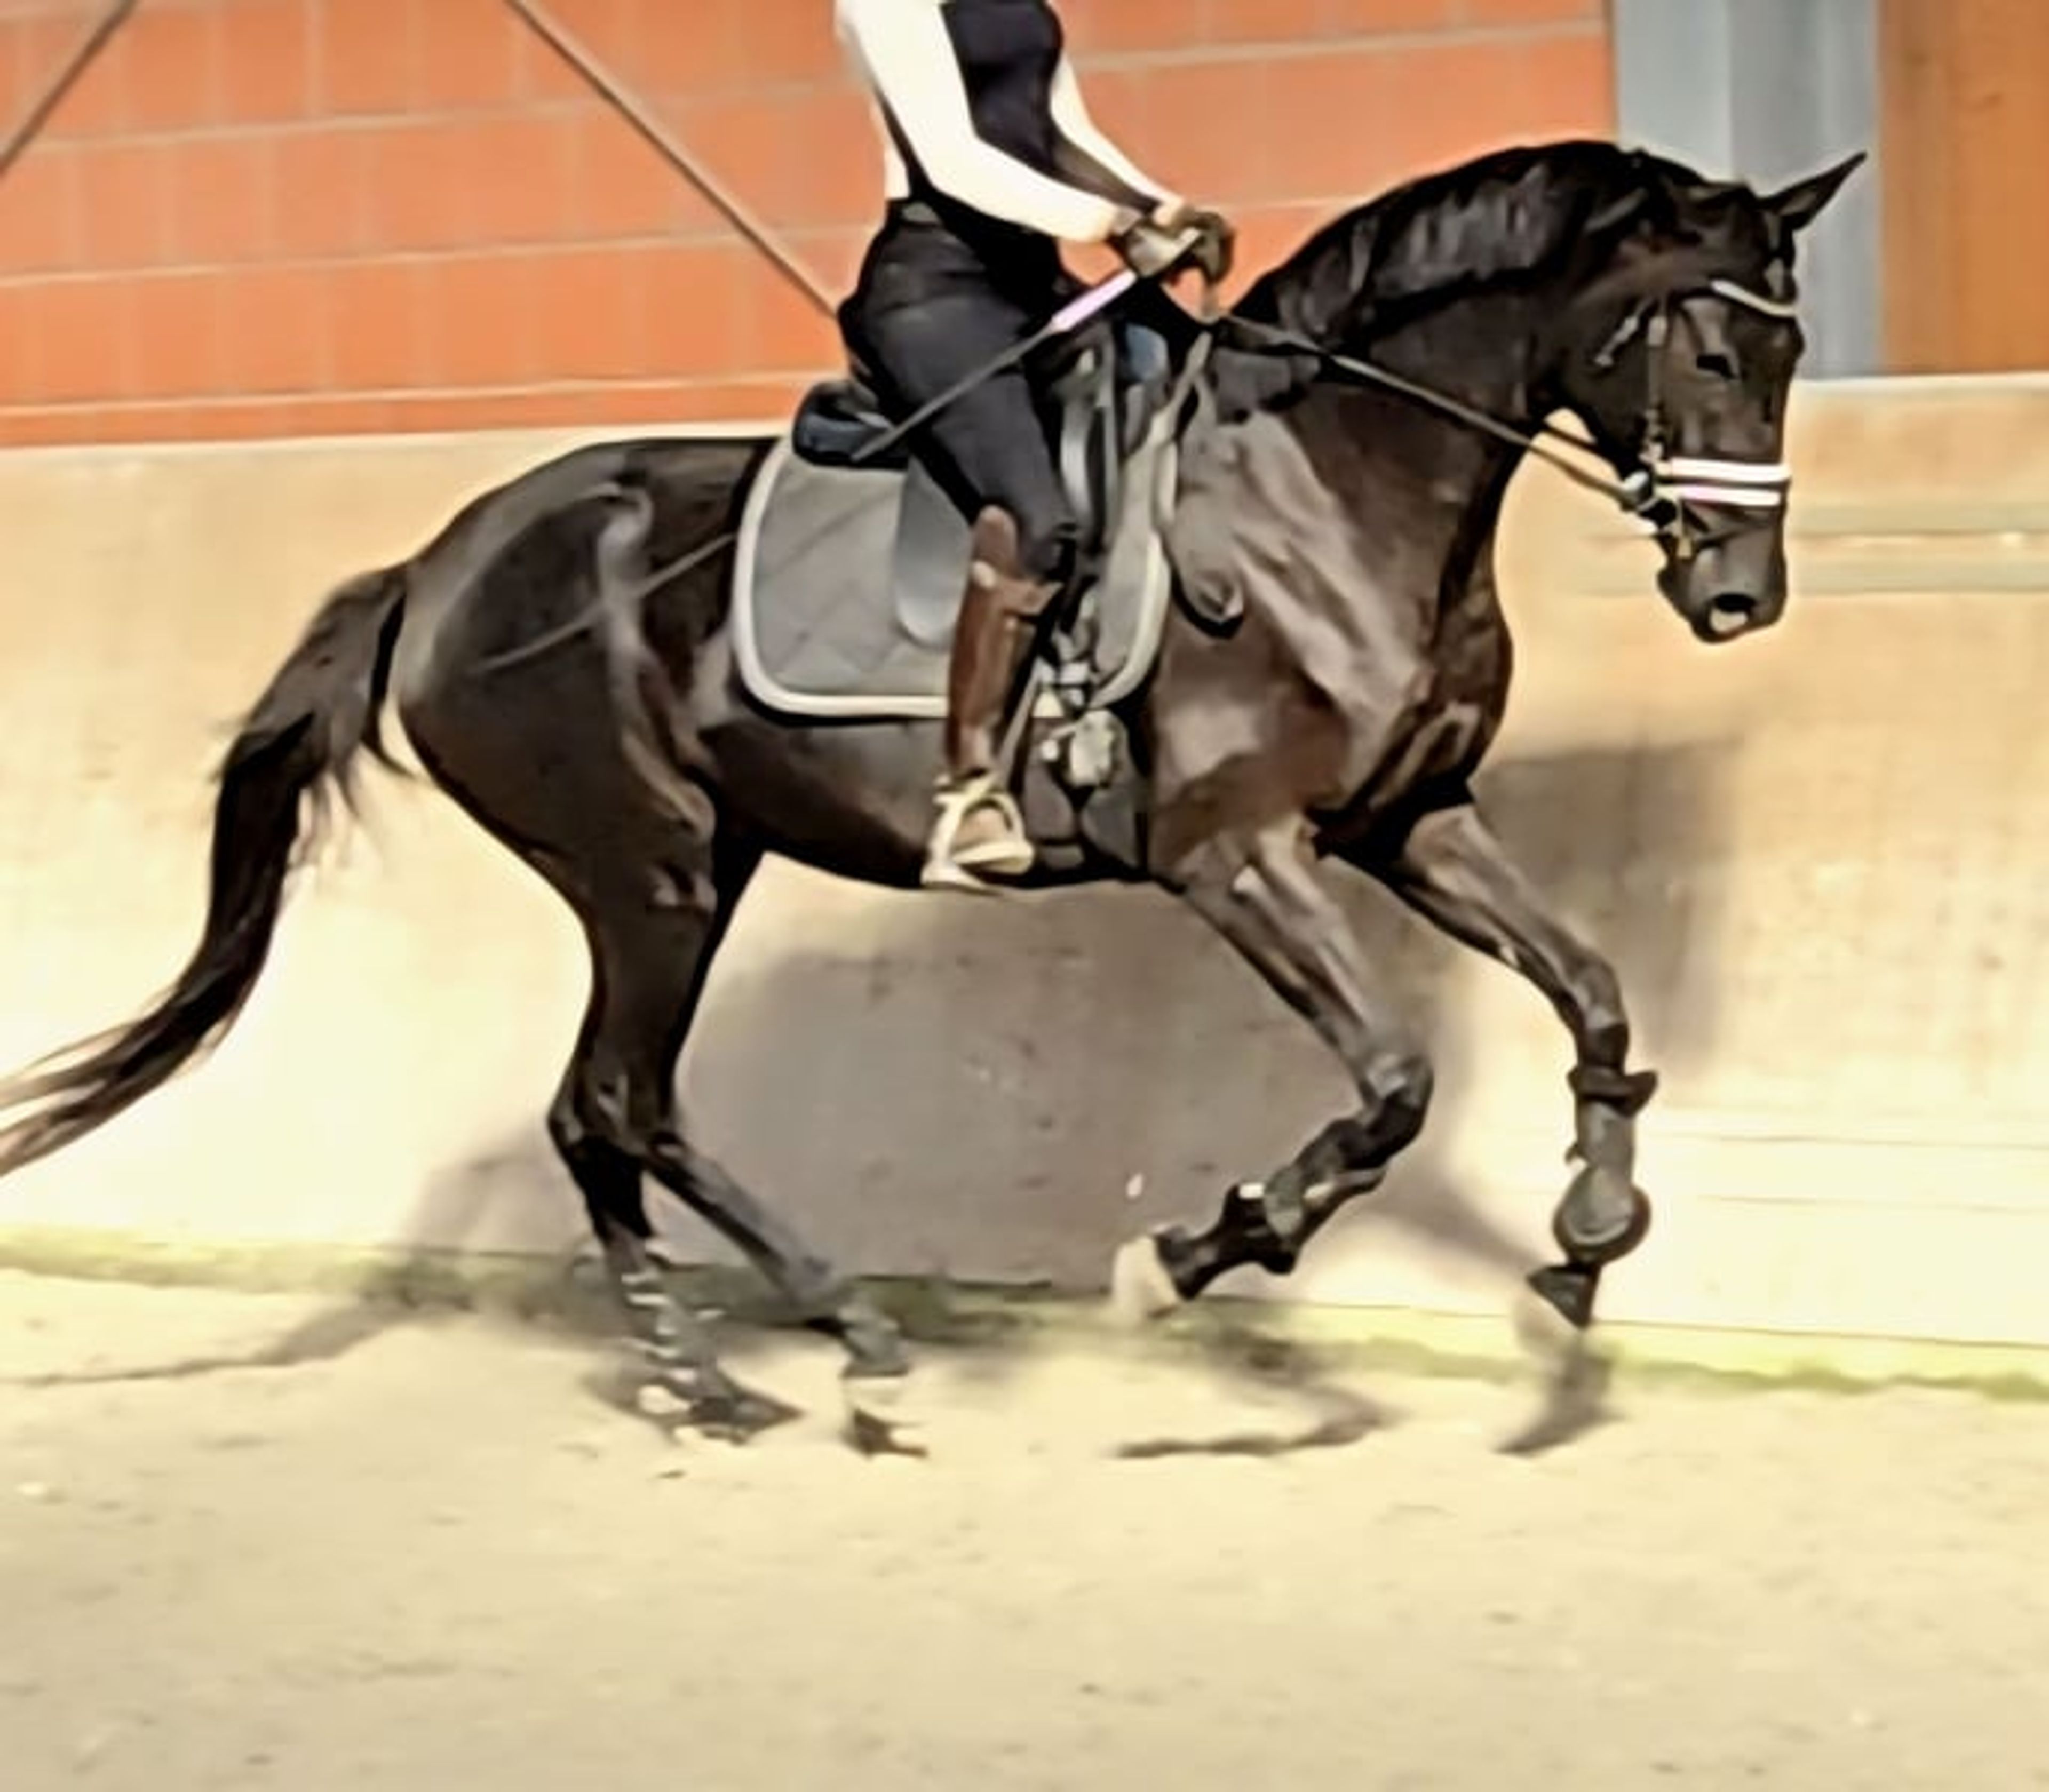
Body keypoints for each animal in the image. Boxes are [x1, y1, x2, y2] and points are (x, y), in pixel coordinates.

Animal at [0, 138, 1861, 1444]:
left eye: (1787, 355)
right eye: (1705, 353)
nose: (1738, 597)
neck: (1318, 492)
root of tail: (440, 564)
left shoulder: (1413, 820)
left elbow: (1596, 995)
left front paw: (1585, 1236)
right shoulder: (1232, 854)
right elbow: (1393, 1089)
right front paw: (1191, 1256)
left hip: (693, 870)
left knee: (596, 1112)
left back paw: (726, 1366)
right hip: (654, 873)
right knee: (621, 1103)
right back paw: (823, 1341)